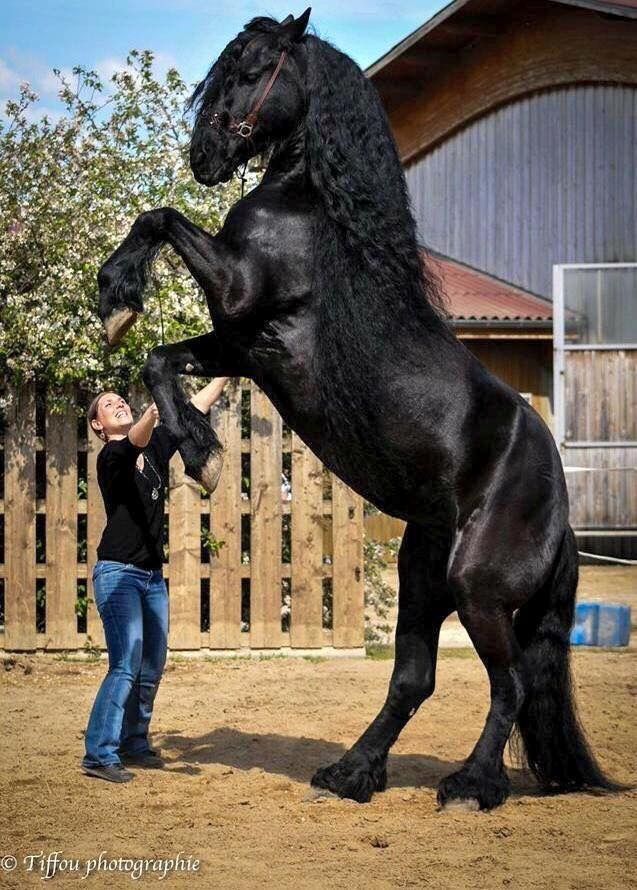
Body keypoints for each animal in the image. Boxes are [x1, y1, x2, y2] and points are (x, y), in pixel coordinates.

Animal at [97, 10, 612, 808]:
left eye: (254, 68)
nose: (204, 154)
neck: (310, 214)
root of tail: (558, 503)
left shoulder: (239, 301)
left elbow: (161, 217)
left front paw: (119, 297)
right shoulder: (243, 345)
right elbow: (159, 359)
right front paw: (198, 447)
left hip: (476, 588)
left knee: (512, 685)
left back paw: (471, 784)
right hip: (423, 574)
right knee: (414, 680)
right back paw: (350, 773)